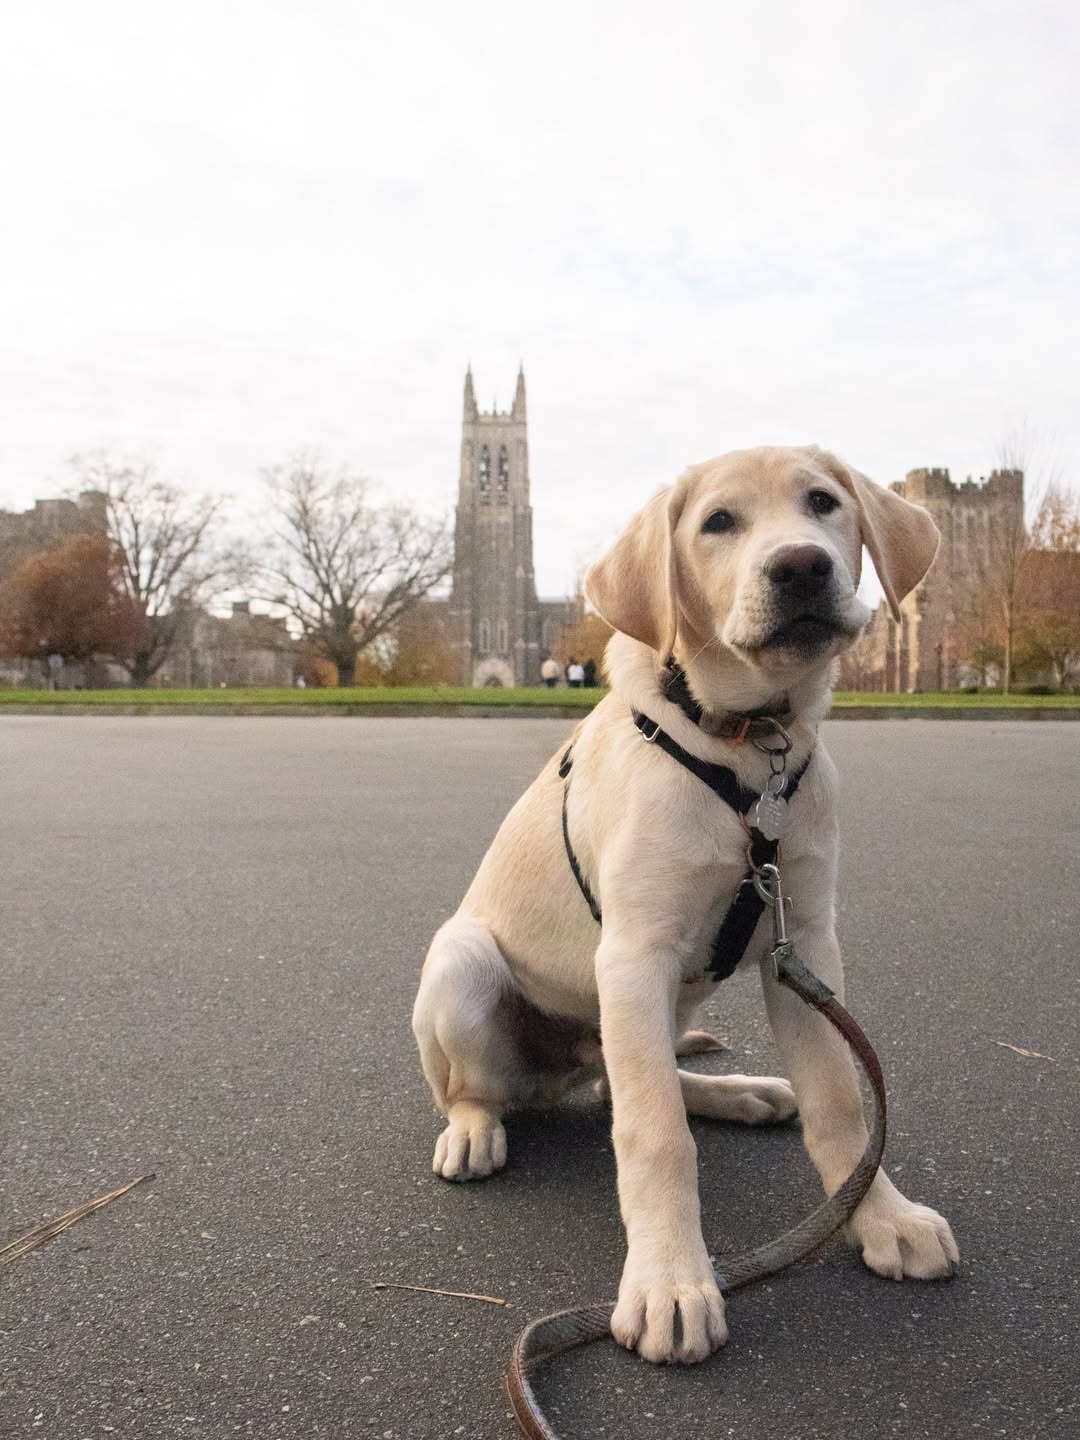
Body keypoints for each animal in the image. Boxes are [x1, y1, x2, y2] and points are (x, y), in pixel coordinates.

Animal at [412, 445, 959, 1365]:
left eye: (824, 503)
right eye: (718, 523)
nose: (801, 566)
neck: (748, 745)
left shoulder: (805, 943)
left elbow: (842, 1102)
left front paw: (877, 1214)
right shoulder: (634, 957)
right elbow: (654, 1133)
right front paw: (671, 1282)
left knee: (629, 1081)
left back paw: (738, 1092)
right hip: (464, 962)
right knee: (514, 1091)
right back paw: (477, 1129)